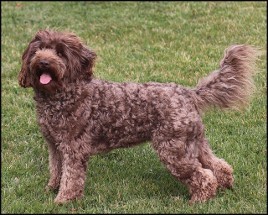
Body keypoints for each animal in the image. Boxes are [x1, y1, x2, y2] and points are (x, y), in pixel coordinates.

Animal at [17, 29, 258, 203]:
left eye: (60, 52)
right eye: (39, 49)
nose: (43, 62)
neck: (63, 93)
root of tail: (188, 93)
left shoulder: (73, 149)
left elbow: (71, 178)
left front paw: (62, 201)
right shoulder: (55, 145)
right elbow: (56, 170)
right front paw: (51, 189)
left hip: (174, 150)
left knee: (204, 176)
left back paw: (198, 200)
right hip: (194, 143)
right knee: (218, 165)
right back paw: (225, 185)